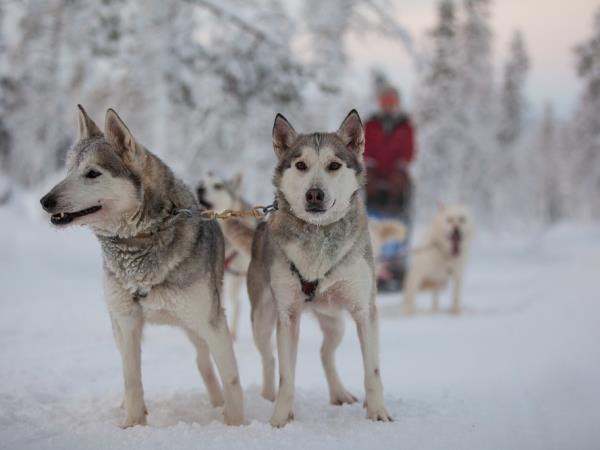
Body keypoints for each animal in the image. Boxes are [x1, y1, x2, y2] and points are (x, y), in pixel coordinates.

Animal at [39, 105, 244, 428]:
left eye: (92, 173)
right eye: (68, 170)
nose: (45, 201)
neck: (141, 242)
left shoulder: (212, 322)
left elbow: (232, 377)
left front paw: (236, 425)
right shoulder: (127, 323)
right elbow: (131, 378)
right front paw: (133, 425)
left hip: (198, 325)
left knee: (204, 362)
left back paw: (216, 403)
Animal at [223, 110, 392, 428]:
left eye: (334, 165)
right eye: (301, 165)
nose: (314, 194)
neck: (318, 235)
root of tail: (259, 229)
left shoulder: (364, 311)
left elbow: (373, 372)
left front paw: (378, 412)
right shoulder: (288, 316)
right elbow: (286, 376)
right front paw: (279, 419)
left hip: (335, 322)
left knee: (326, 353)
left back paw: (339, 393)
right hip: (263, 320)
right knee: (271, 359)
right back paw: (270, 396)